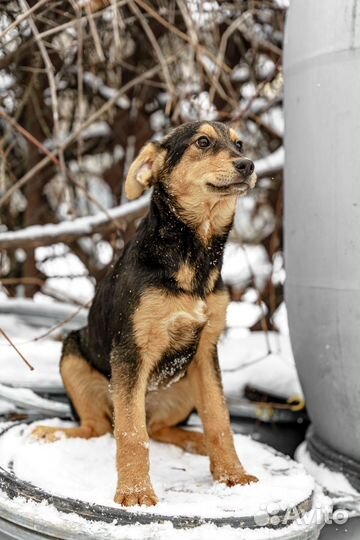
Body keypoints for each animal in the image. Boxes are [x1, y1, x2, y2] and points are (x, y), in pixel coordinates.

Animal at [32, 121, 258, 506]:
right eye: (203, 142)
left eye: (239, 144)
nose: (248, 165)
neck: (193, 254)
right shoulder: (130, 351)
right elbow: (131, 432)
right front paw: (135, 493)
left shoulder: (206, 350)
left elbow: (219, 420)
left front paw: (232, 475)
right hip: (73, 355)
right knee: (100, 428)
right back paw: (52, 432)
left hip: (184, 382)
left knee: (159, 428)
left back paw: (195, 442)